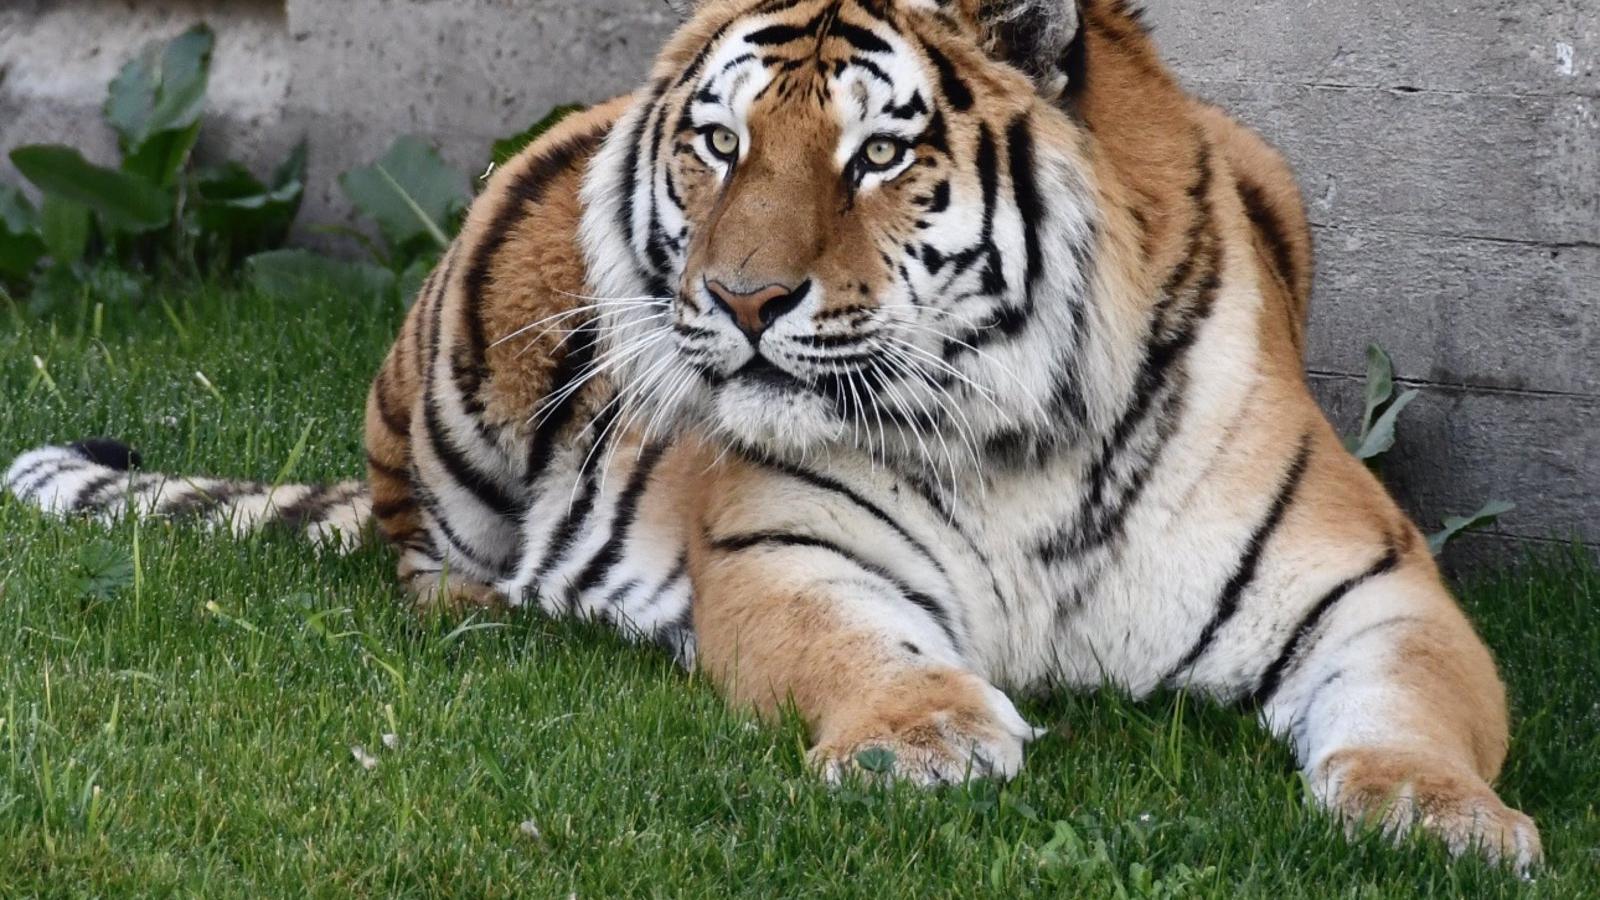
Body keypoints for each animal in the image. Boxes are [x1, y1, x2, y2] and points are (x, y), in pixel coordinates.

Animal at [4, 0, 1539, 869]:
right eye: (722, 145)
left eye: (881, 155)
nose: (740, 301)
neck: (1016, 436)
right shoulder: (793, 559)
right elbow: (861, 655)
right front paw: (924, 739)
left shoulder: (1379, 589)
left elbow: (1419, 711)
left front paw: (1447, 820)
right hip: (459, 368)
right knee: (412, 547)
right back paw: (494, 611)